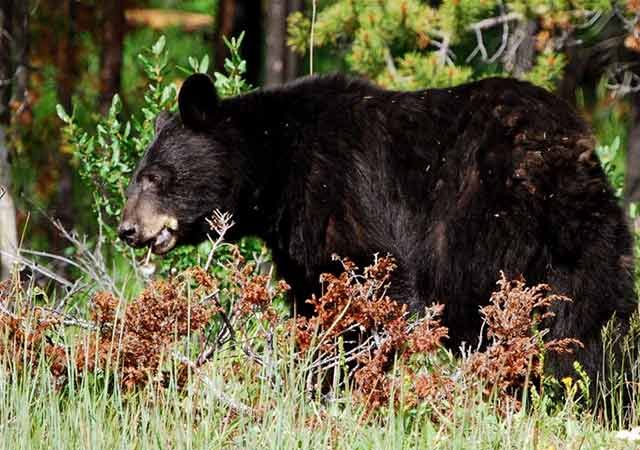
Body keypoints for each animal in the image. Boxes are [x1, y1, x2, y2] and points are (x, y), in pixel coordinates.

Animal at [118, 72, 636, 382]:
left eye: (155, 176)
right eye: (136, 175)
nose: (127, 229)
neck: (275, 165)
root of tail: (577, 141)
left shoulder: (340, 192)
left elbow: (369, 284)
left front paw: (346, 374)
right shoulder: (298, 236)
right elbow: (313, 294)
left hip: (495, 224)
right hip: (587, 233)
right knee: (596, 308)